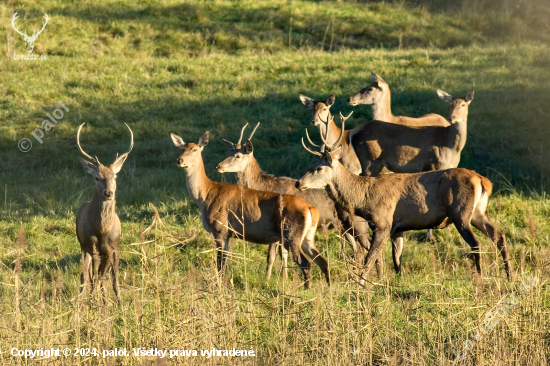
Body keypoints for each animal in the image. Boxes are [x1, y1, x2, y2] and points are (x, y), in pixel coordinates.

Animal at [75, 122, 135, 300]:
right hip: (85, 247)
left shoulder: (112, 248)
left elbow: (109, 278)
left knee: (108, 276)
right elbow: (87, 277)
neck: (101, 230)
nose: (109, 193)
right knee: (89, 276)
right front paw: (81, 303)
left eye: (114, 176)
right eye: (96, 177)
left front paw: (110, 302)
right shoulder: (87, 246)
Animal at [170, 130, 330, 288]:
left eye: (194, 149)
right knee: (322, 261)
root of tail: (311, 208)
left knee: (306, 264)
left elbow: (220, 265)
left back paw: (305, 290)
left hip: (290, 233)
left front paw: (220, 287)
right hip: (307, 236)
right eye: (181, 148)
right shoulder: (227, 234)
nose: (179, 160)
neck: (206, 195)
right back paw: (328, 288)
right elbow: (224, 264)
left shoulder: (219, 229)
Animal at [217, 121, 384, 276]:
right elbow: (279, 255)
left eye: (238, 156)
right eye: (229, 152)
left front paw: (271, 278)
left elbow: (273, 255)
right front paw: (279, 277)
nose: (218, 166)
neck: (264, 186)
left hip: (358, 224)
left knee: (369, 248)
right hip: (345, 227)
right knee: (361, 250)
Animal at [298, 118, 516, 282]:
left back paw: (480, 276)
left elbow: (371, 256)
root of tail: (483, 180)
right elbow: (397, 260)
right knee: (499, 236)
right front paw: (396, 281)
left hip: (461, 212)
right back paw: (509, 275)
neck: (363, 198)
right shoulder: (398, 227)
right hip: (479, 212)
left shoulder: (383, 222)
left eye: (319, 167)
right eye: (310, 164)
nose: (299, 183)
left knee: (476, 243)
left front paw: (362, 283)